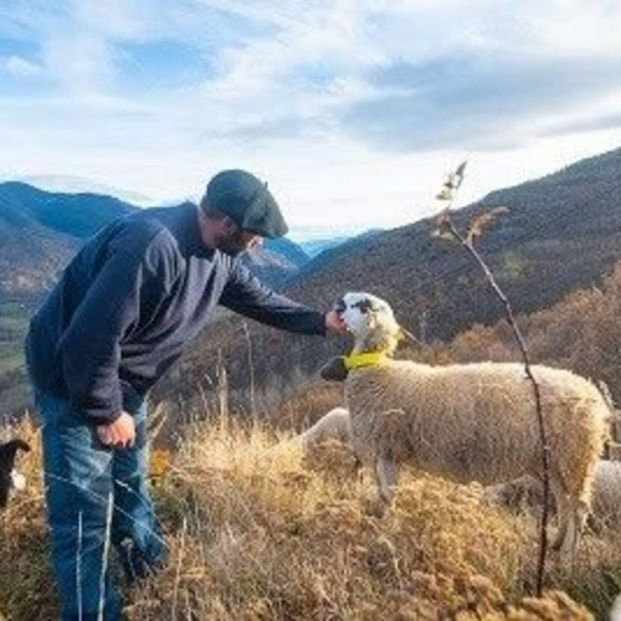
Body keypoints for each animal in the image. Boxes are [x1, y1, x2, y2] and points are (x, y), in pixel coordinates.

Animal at [332, 290, 608, 556]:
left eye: (362, 305)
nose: (337, 303)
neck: (378, 373)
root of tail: (592, 393)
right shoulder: (385, 452)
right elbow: (383, 495)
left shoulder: (388, 449)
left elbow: (389, 496)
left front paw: (387, 531)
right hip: (553, 460)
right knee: (563, 500)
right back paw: (557, 544)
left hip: (575, 456)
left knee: (578, 507)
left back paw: (568, 557)